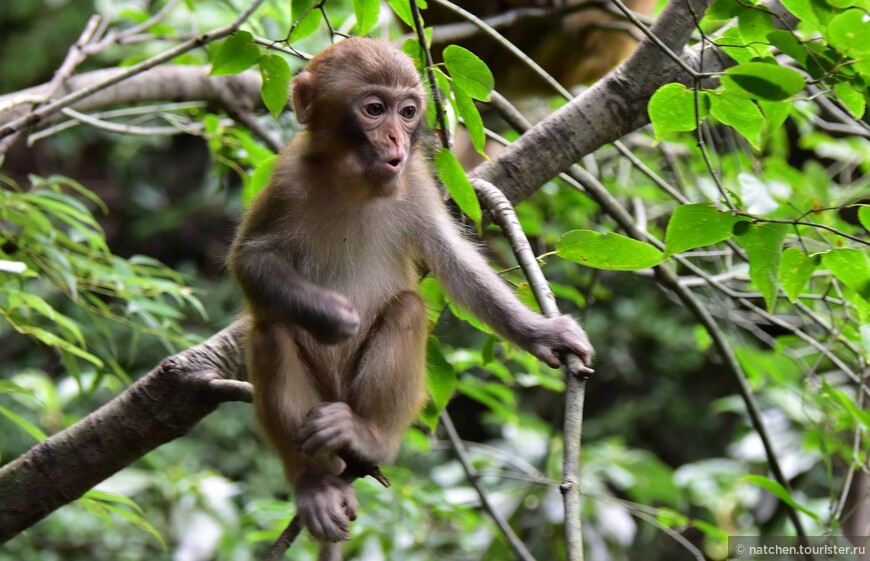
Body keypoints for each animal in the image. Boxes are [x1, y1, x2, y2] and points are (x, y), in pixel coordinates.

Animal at [227, 38, 592, 556]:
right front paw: (327, 314)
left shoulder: (417, 183)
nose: (397, 142)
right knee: (270, 330)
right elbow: (251, 258)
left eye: (407, 111)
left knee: (407, 308)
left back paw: (368, 436)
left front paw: (542, 334)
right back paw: (314, 483)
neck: (353, 184)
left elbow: (455, 265)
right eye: (374, 110)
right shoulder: (285, 178)